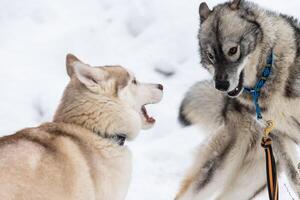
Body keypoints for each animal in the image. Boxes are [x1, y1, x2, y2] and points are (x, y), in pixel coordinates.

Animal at [176, 0, 300, 200]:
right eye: (211, 56)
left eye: (233, 50)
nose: (220, 85)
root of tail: (226, 107)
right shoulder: (280, 138)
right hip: (225, 168)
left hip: (254, 178)